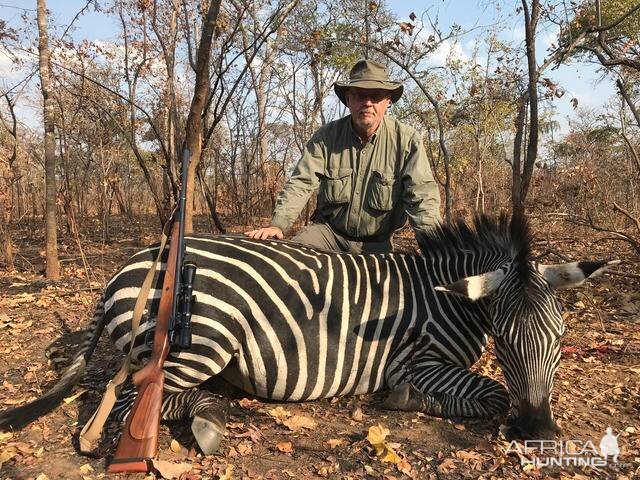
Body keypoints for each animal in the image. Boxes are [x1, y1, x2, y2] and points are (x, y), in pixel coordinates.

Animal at [1, 216, 620, 456]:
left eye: (561, 339)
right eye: (508, 342)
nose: (540, 431)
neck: (448, 298)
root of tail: (133, 264)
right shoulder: (420, 362)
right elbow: (487, 393)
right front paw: (402, 401)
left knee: (120, 388)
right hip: (208, 336)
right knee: (142, 394)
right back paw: (210, 416)